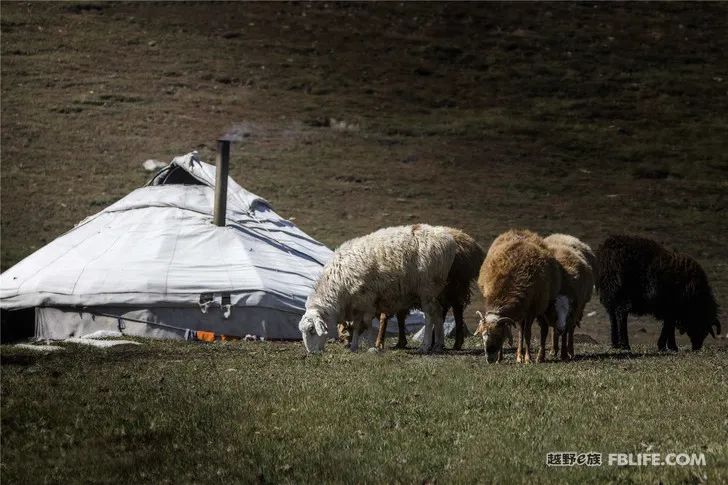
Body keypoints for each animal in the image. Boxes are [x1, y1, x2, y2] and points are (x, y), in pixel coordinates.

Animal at [300, 223, 484, 352]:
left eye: (311, 330)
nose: (311, 353)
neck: (336, 287)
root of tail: (448, 239)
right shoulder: (357, 303)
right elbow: (358, 324)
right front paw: (354, 347)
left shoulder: (367, 299)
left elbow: (366, 324)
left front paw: (370, 346)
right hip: (435, 290)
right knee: (438, 313)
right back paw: (438, 345)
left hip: (427, 287)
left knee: (430, 316)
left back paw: (425, 346)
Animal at [474, 231, 560, 364]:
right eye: (482, 336)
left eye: (497, 335)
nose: (490, 359)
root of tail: (521, 231)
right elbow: (514, 331)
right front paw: (500, 359)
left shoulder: (531, 311)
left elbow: (528, 334)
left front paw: (528, 358)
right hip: (521, 310)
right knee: (520, 330)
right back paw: (519, 355)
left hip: (541, 304)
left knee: (540, 329)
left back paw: (536, 356)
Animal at [596, 233, 724, 350]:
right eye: (702, 325)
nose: (697, 347)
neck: (696, 298)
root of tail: (607, 251)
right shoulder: (672, 307)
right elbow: (668, 325)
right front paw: (667, 346)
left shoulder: (672, 309)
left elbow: (669, 326)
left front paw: (669, 346)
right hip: (622, 294)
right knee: (621, 314)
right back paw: (625, 345)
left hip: (609, 294)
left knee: (612, 316)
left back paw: (615, 344)